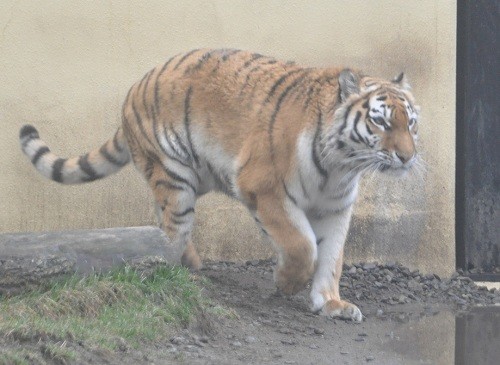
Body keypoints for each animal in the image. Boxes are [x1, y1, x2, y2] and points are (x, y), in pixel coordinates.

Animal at [18, 48, 418, 322]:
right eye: (382, 122)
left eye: (410, 123)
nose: (408, 157)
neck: (342, 165)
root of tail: (138, 84)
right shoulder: (264, 187)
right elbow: (302, 245)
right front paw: (286, 283)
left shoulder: (336, 207)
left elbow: (331, 257)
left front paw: (331, 303)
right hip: (175, 176)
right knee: (172, 228)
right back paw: (175, 267)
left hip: (194, 176)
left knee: (160, 216)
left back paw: (189, 261)